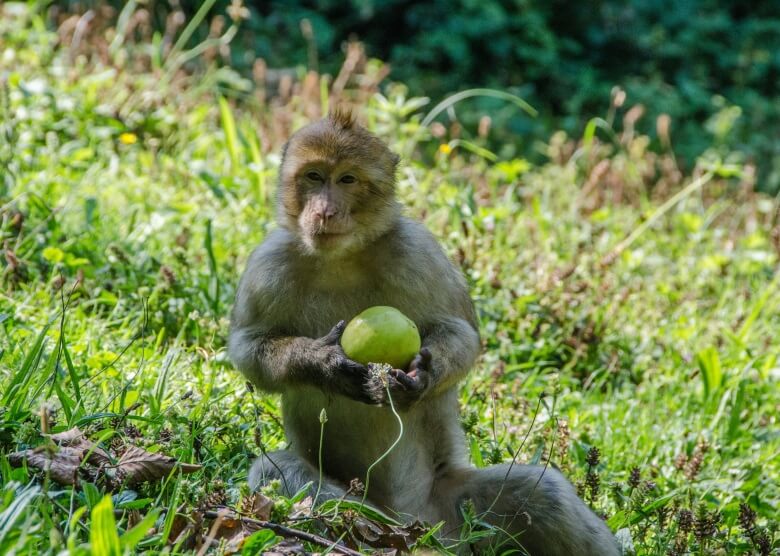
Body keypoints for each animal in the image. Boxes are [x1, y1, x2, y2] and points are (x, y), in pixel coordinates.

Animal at [227, 109, 620, 556]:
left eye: (347, 179)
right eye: (314, 176)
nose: (324, 211)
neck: (341, 258)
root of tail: (417, 525)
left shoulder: (418, 252)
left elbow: (460, 333)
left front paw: (420, 377)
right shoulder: (268, 266)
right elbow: (249, 349)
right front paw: (323, 364)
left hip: (458, 512)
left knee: (543, 493)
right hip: (381, 512)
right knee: (277, 470)